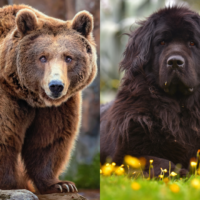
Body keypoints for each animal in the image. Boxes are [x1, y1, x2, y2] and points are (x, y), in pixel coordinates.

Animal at [0, 4, 97, 195]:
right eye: (42, 57)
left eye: (69, 57)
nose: (56, 86)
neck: (31, 97)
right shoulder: (8, 96)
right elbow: (5, 134)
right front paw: (10, 184)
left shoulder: (57, 107)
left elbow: (49, 141)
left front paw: (62, 184)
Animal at [100, 6, 200, 176]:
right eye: (162, 42)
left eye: (192, 43)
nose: (175, 62)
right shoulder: (124, 154)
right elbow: (163, 162)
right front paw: (180, 173)